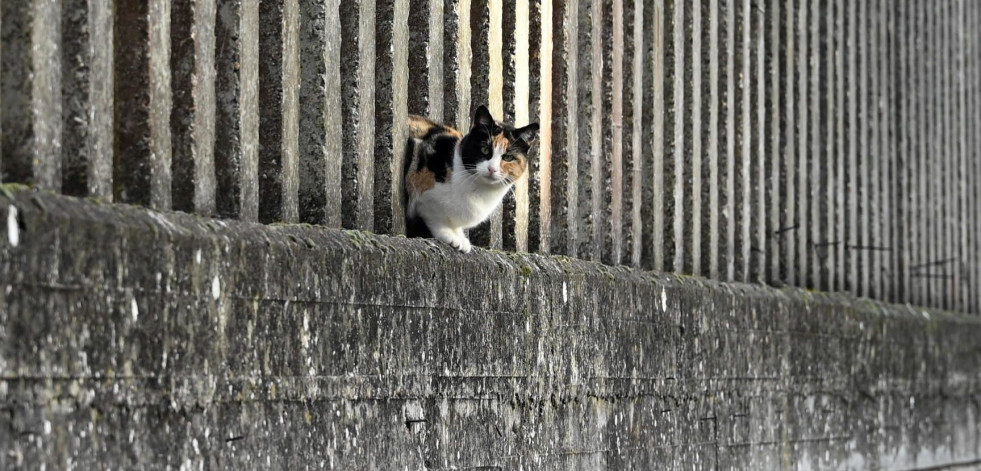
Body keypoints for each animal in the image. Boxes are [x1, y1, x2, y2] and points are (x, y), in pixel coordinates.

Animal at [402, 106, 540, 254]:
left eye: (508, 157)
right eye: (484, 150)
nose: (492, 169)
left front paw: (460, 236)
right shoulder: (424, 182)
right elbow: (434, 215)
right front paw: (450, 235)